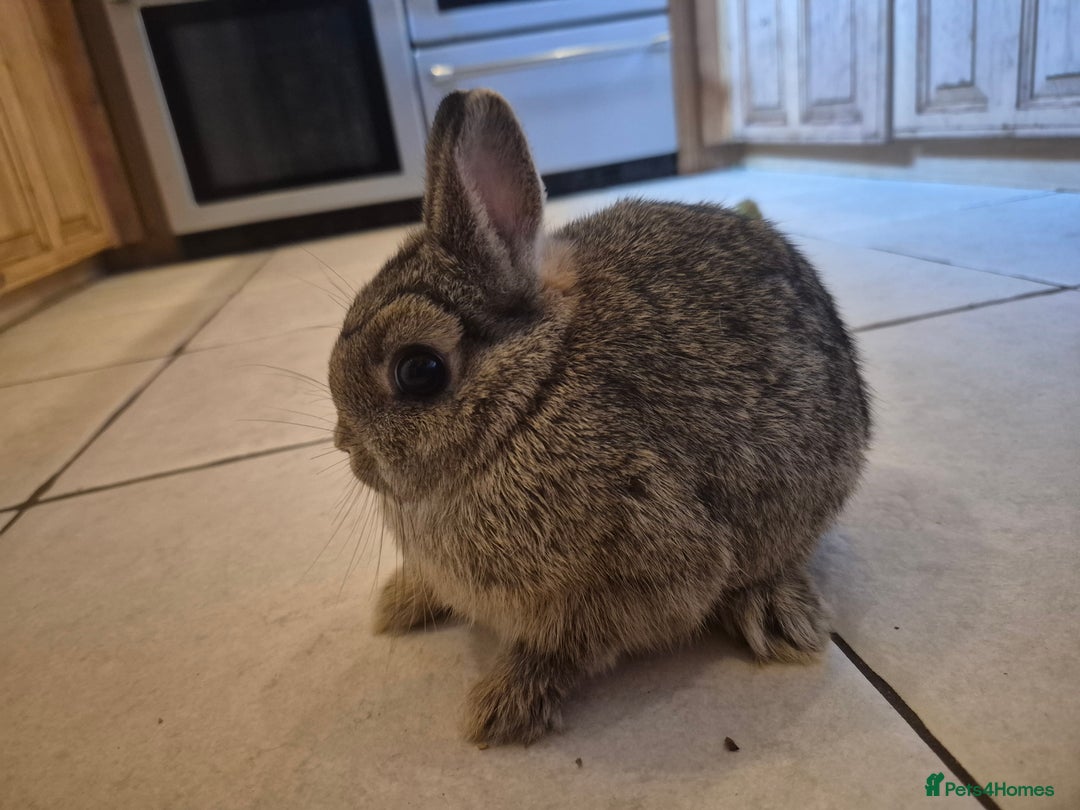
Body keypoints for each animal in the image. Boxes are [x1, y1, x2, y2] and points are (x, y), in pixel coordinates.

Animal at [328, 89, 871, 746]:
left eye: (418, 371)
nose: (346, 447)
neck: (530, 397)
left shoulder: (632, 574)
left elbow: (564, 649)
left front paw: (500, 707)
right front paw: (400, 603)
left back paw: (775, 616)